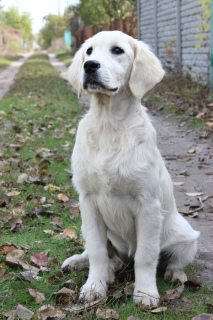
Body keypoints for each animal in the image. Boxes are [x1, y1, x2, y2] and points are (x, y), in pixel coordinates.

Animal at [61, 30, 200, 308]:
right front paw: (95, 286)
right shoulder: (88, 201)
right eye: (89, 51)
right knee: (105, 255)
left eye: (118, 50)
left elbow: (145, 256)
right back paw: (86, 265)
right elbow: (97, 252)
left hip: (186, 235)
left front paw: (145, 293)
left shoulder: (148, 206)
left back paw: (175, 274)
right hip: (87, 226)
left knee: (173, 259)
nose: (89, 66)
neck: (109, 124)